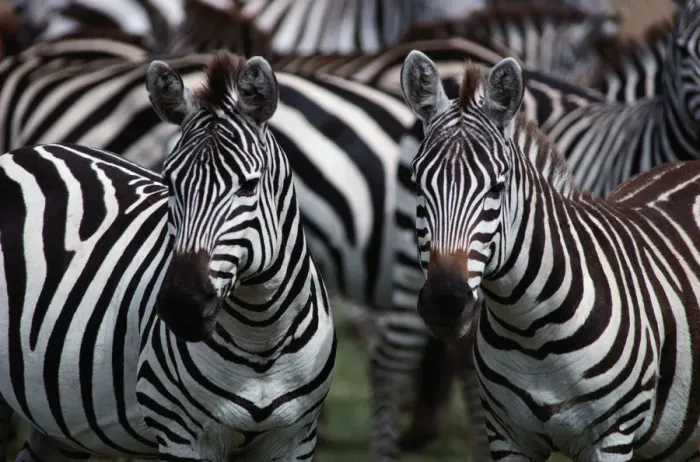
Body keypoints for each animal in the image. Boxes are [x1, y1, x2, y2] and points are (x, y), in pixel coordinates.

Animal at [0, 50, 336, 461]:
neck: (262, 339)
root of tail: (26, 150)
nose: (182, 306)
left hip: (56, 421)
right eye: (169, 183)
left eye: (249, 186)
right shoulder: (182, 435)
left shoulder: (296, 438)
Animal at [401, 49, 700, 462]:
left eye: (497, 188)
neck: (530, 331)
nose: (445, 304)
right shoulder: (507, 437)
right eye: (417, 184)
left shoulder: (612, 438)